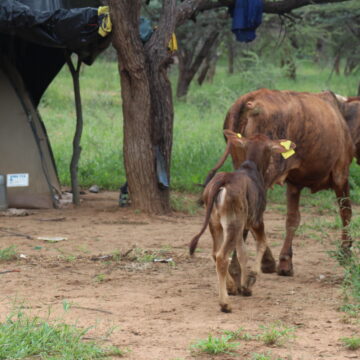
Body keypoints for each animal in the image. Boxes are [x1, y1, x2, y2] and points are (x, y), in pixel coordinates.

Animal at [190, 130, 296, 312]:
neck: (251, 167)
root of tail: (223, 181)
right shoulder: (256, 220)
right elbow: (262, 243)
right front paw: (250, 279)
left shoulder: (242, 227)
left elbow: (242, 253)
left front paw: (242, 285)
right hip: (233, 223)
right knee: (222, 256)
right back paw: (225, 303)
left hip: (216, 224)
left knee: (215, 253)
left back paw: (231, 287)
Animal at [205, 88, 354, 278]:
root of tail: (251, 98)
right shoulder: (341, 175)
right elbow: (346, 213)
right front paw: (345, 252)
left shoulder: (294, 184)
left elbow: (292, 219)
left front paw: (285, 261)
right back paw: (249, 264)